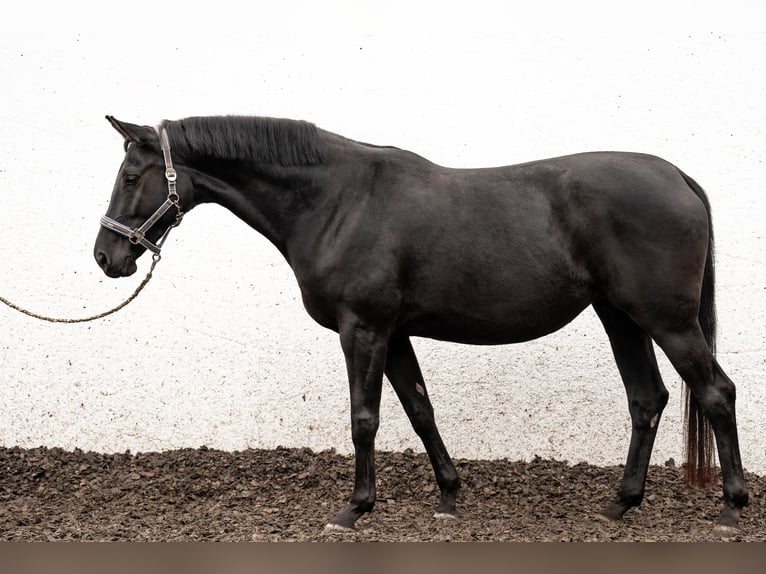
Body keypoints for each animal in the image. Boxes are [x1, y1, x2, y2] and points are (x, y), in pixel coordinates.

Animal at [93, 115, 748, 536]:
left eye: (130, 177)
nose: (106, 256)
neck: (339, 200)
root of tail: (678, 178)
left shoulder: (363, 329)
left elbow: (365, 418)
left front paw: (354, 510)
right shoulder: (396, 332)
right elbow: (419, 408)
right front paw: (448, 498)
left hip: (666, 319)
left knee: (716, 392)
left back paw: (731, 509)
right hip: (622, 317)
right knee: (648, 399)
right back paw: (621, 505)